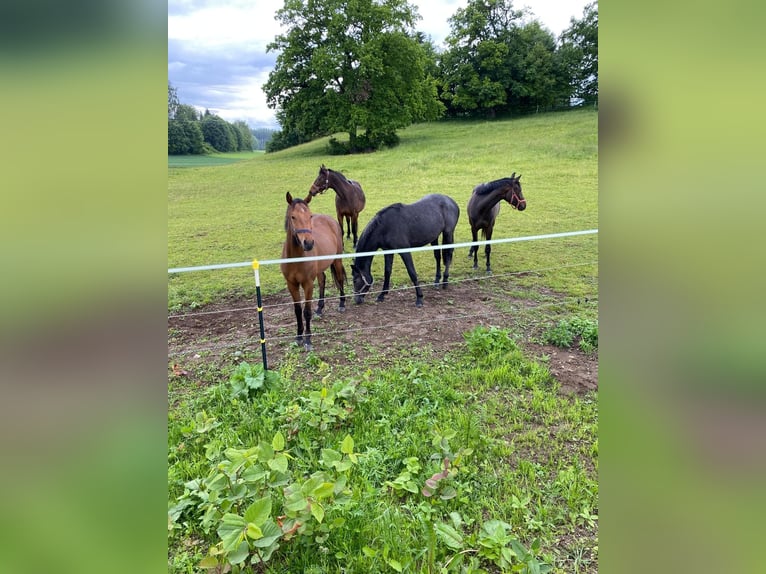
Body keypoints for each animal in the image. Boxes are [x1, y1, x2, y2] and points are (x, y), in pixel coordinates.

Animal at [280, 191, 347, 351]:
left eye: (309, 216)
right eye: (293, 217)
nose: (309, 243)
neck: (296, 259)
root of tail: (330, 220)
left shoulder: (308, 284)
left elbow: (306, 311)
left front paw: (308, 340)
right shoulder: (291, 284)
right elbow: (298, 310)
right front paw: (299, 337)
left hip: (337, 260)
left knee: (340, 278)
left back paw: (342, 304)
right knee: (322, 280)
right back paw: (320, 308)